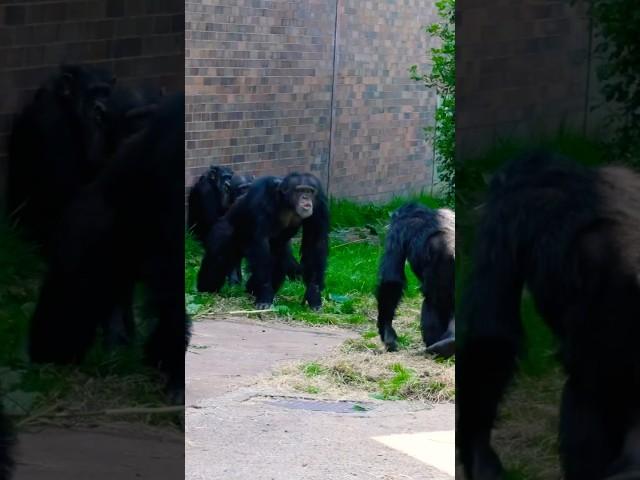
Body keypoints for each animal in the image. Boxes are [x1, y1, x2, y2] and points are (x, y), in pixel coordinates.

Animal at [196, 173, 328, 312]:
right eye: (300, 190)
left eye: (310, 191)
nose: (306, 198)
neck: (288, 204)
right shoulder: (261, 196)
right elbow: (260, 241)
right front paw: (264, 294)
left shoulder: (320, 204)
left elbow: (315, 242)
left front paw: (314, 294)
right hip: (223, 229)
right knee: (217, 257)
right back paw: (205, 288)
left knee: (278, 262)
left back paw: (251, 290)